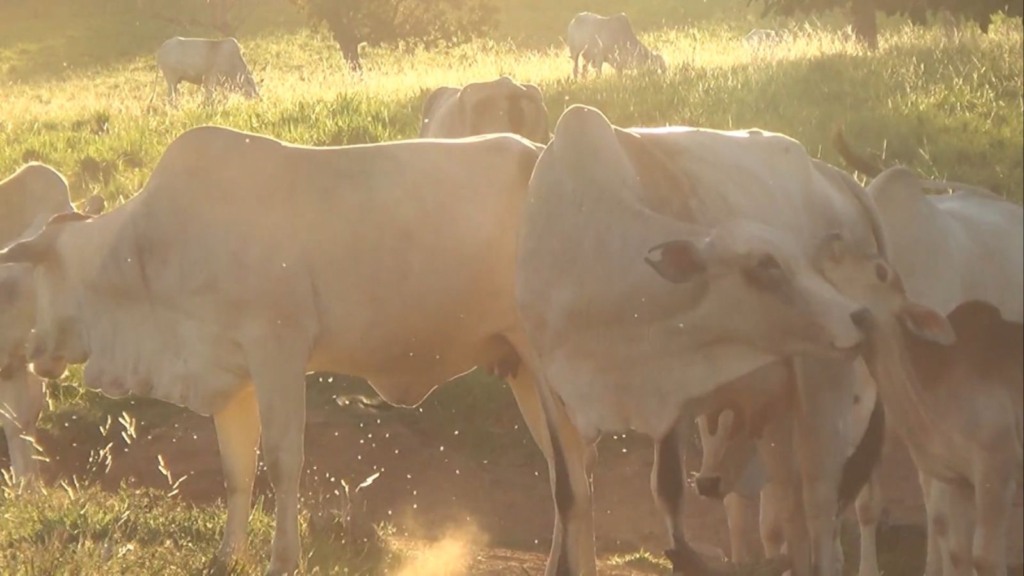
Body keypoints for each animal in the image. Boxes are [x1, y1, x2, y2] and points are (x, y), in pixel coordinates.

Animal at [2, 127, 561, 569]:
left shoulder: (278, 351)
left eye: (31, 277)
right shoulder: (230, 376)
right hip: (523, 370)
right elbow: (236, 471)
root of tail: (540, 148)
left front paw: (282, 559)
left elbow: (282, 460)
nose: (36, 352)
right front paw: (226, 555)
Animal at [512, 104, 888, 573]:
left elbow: (670, 495)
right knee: (791, 513)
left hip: (824, 386)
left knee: (819, 512)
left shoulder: (675, 389)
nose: (860, 317)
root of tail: (837, 179)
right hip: (777, 415)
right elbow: (571, 496)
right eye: (765, 265)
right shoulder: (550, 383)